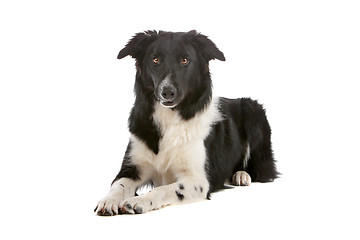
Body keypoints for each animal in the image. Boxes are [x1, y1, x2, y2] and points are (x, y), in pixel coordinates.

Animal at [95, 30, 278, 216]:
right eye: (155, 60)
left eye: (185, 60)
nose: (167, 92)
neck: (170, 117)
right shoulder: (131, 167)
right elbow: (117, 185)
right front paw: (108, 201)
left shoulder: (198, 181)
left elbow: (163, 189)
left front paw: (140, 201)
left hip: (252, 110)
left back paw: (242, 175)